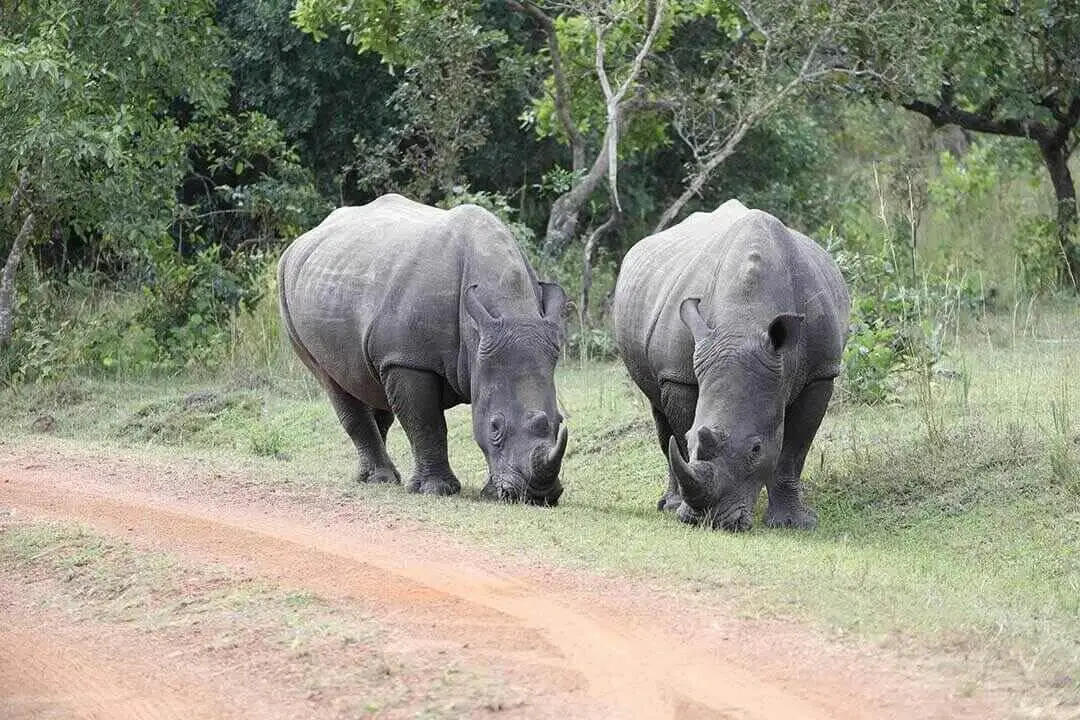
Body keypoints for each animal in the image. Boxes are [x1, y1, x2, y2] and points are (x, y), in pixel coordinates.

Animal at [274, 193, 570, 507]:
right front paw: (436, 490)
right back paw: (380, 479)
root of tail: (302, 240)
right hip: (287, 292)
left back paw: (375, 476)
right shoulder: (408, 359)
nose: (536, 496)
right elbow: (426, 423)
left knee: (371, 383)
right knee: (333, 381)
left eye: (560, 422)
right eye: (495, 427)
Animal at [613, 199, 846, 533]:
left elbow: (793, 451)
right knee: (659, 413)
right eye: (692, 439)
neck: (743, 322)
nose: (710, 521)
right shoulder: (679, 376)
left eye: (756, 449)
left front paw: (793, 523)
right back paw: (668, 506)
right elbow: (678, 438)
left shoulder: (821, 373)